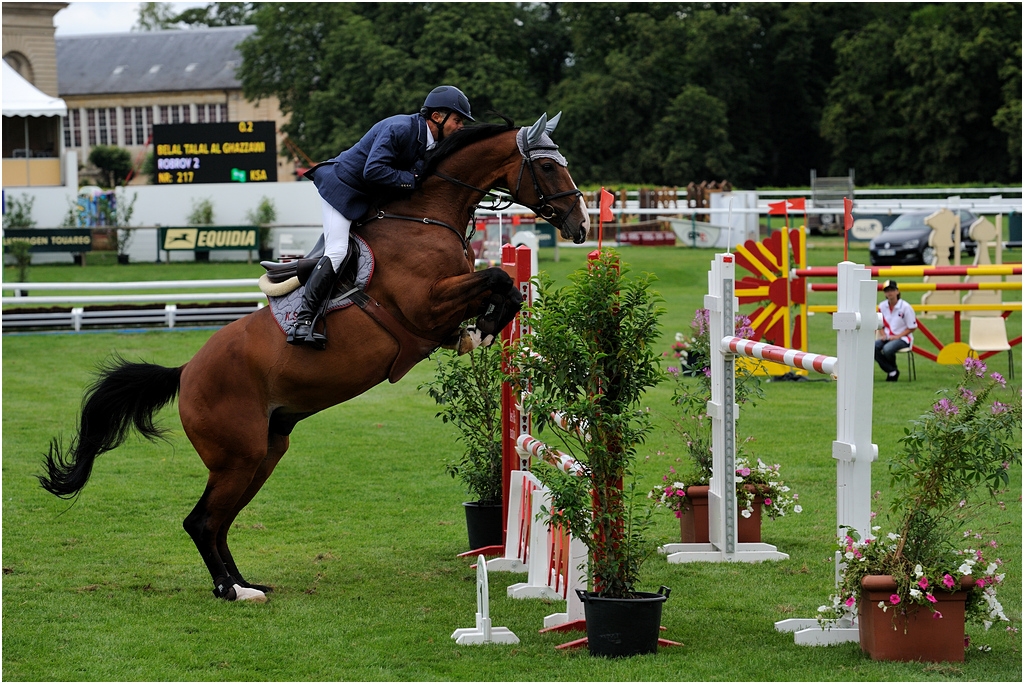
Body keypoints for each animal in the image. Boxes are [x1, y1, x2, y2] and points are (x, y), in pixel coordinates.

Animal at [38, 113, 590, 603]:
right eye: (547, 167)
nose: (580, 224)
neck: (424, 215)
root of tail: (186, 372)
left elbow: (502, 285)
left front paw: (484, 328)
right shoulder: (425, 307)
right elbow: (495, 277)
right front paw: (484, 329)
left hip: (265, 452)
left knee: (220, 523)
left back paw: (244, 582)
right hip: (238, 456)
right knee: (202, 521)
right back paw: (230, 591)